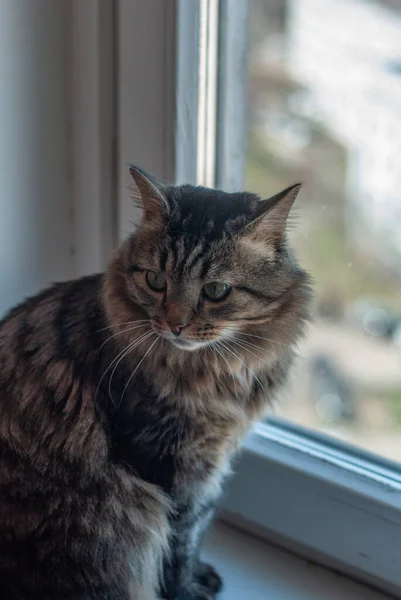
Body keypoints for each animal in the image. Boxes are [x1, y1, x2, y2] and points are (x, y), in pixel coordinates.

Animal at [0, 165, 310, 600]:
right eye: (155, 280)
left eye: (216, 290)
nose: (175, 324)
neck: (214, 370)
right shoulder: (167, 461)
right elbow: (178, 545)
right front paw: (186, 591)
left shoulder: (209, 462)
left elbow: (197, 531)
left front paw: (201, 576)